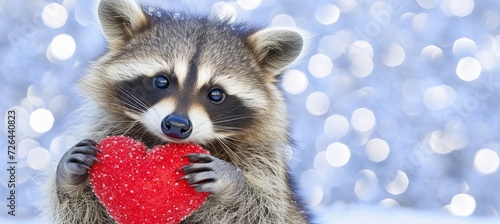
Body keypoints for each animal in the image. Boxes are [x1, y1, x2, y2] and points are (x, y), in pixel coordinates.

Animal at [41, 0, 308, 223]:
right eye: (161, 81)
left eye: (216, 94)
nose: (177, 125)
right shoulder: (105, 128)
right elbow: (87, 214)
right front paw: (68, 178)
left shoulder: (262, 160)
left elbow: (265, 209)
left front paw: (233, 184)